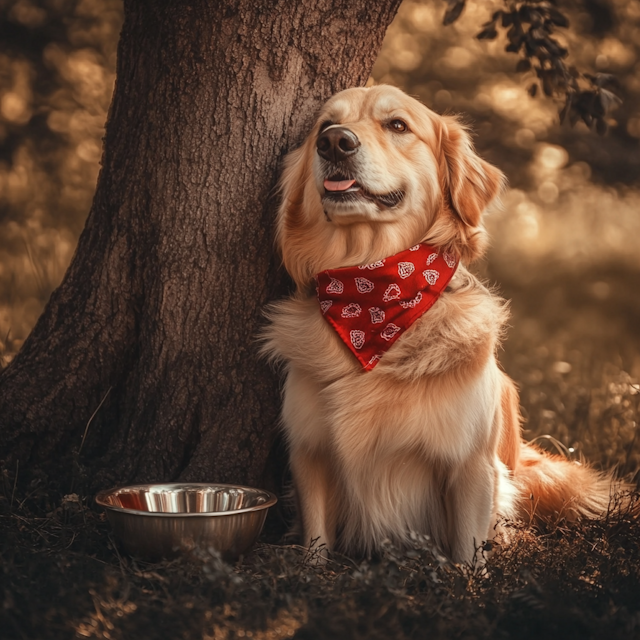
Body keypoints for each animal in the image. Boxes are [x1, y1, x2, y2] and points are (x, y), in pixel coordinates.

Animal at [262, 86, 616, 564]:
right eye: (325, 125)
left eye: (397, 125)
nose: (335, 142)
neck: (372, 302)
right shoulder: (309, 451)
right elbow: (315, 539)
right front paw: (313, 571)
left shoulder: (470, 463)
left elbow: (468, 552)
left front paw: (469, 579)